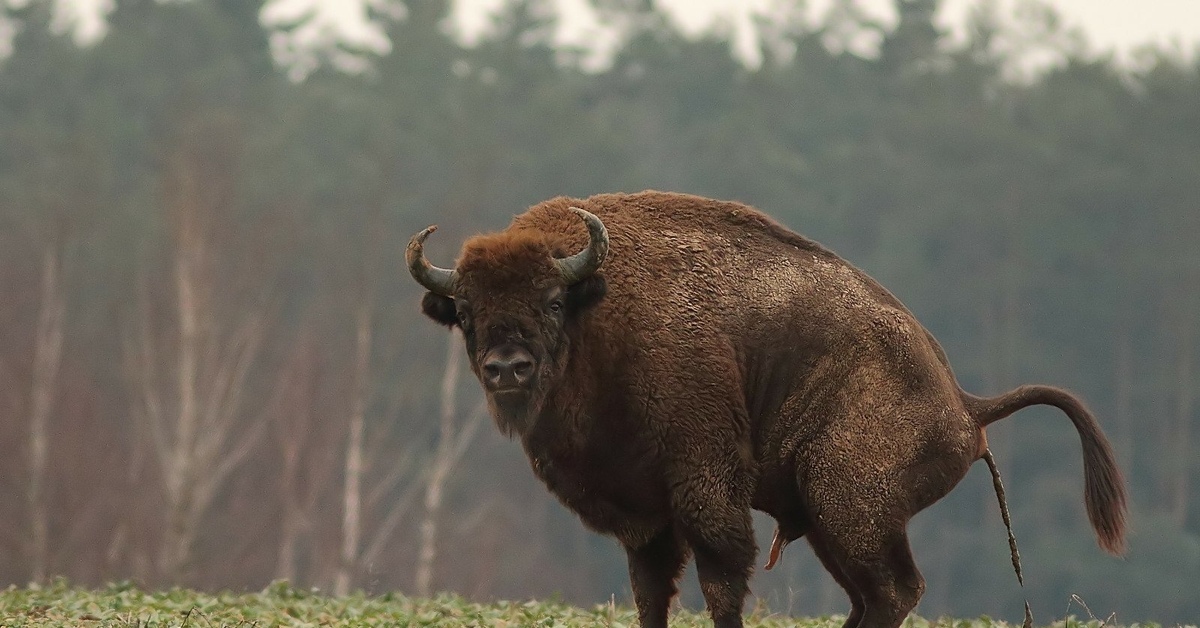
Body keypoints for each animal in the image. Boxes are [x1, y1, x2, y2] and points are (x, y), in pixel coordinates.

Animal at [408, 190, 1128, 628]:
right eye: (465, 310)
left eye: (552, 301)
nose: (508, 368)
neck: (604, 310)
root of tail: (965, 405)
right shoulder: (645, 515)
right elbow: (650, 590)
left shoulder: (705, 488)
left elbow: (722, 582)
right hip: (833, 522)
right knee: (871, 595)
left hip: (849, 504)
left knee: (894, 589)